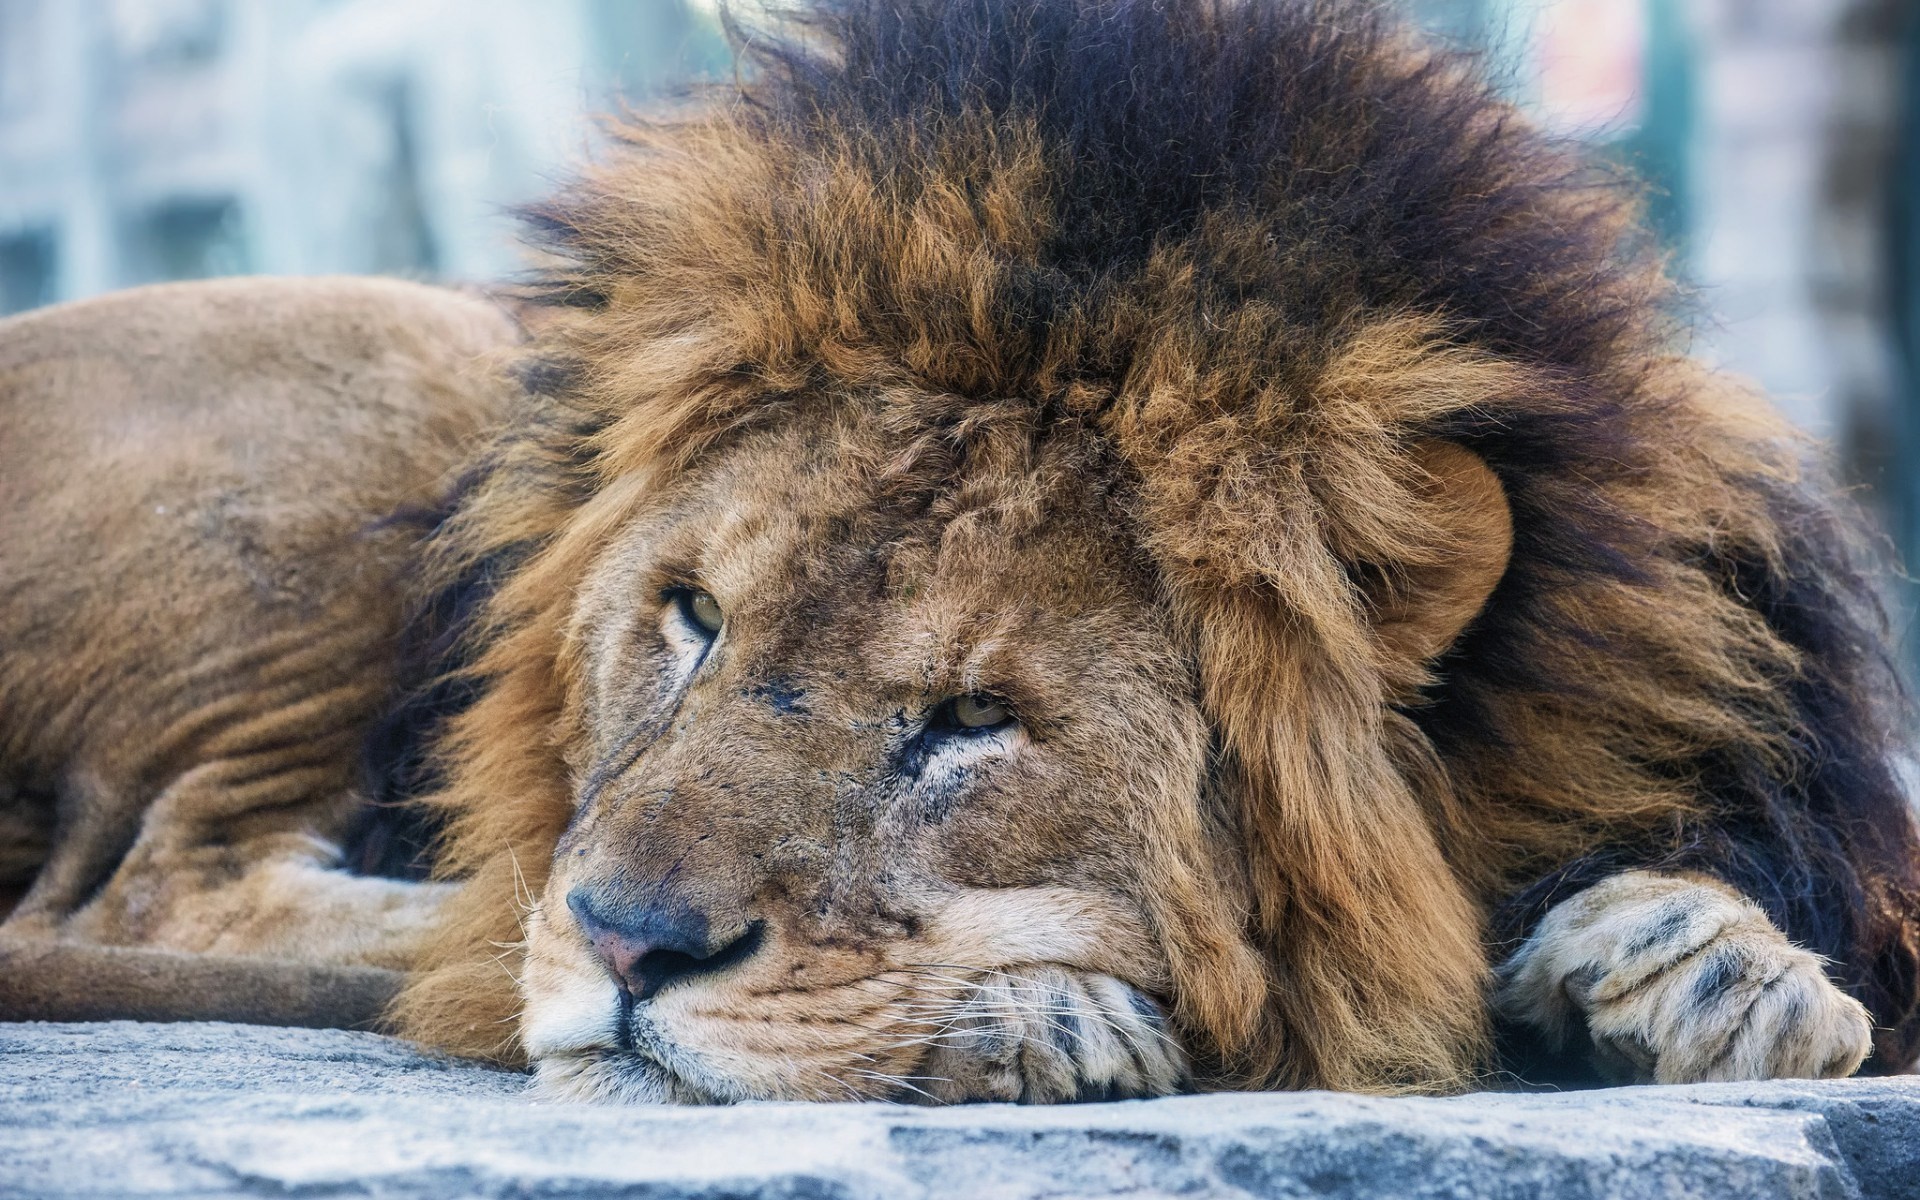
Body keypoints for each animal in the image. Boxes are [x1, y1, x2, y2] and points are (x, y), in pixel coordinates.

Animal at [6, 0, 1920, 1102]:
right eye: (692, 617)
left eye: (973, 723)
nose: (620, 945)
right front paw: (1030, 1015)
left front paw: (1711, 971)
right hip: (402, 367)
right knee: (170, 894)